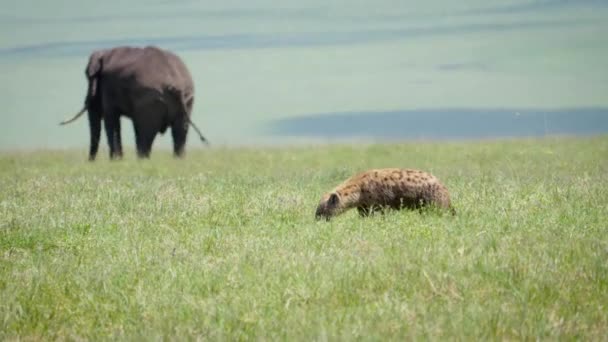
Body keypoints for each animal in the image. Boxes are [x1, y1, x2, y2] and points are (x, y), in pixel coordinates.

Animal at [61, 44, 209, 160]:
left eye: (88, 77)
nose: (90, 162)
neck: (104, 53)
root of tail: (176, 85)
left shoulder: (109, 87)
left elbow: (111, 119)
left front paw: (116, 161)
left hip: (150, 101)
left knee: (145, 132)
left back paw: (142, 160)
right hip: (187, 98)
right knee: (180, 131)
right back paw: (177, 160)